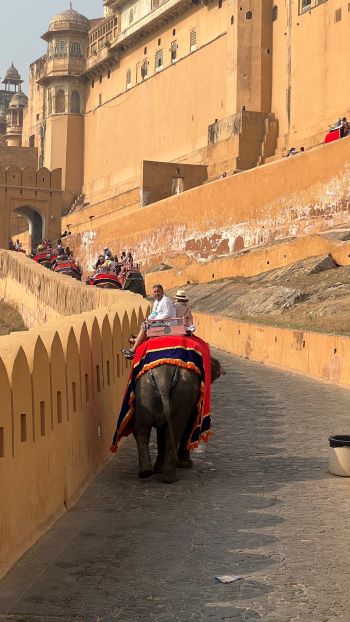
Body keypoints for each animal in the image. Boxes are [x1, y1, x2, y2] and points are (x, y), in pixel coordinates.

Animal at [131, 358, 224, 486]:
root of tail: (163, 377)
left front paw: (159, 469)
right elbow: (190, 423)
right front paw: (186, 464)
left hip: (145, 391)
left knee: (142, 429)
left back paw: (147, 472)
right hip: (181, 393)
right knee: (175, 432)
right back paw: (170, 479)